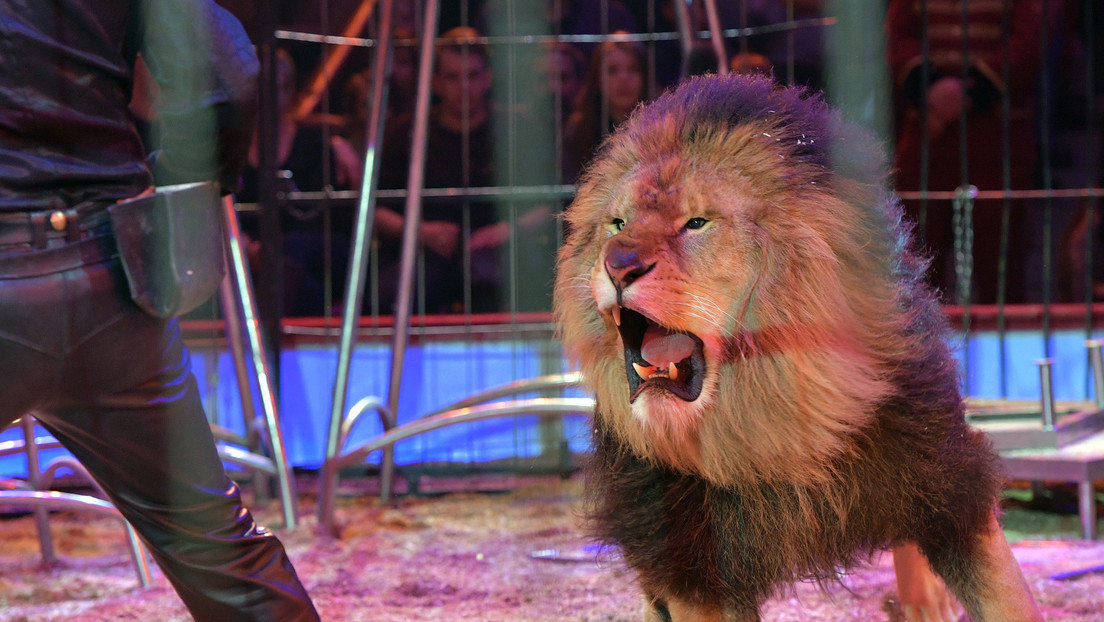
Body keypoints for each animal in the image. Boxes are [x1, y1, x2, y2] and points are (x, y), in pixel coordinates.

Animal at [553, 74, 1042, 621]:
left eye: (697, 223)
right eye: (617, 223)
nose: (618, 265)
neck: (774, 431)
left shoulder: (947, 481)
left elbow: (1008, 598)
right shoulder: (688, 563)